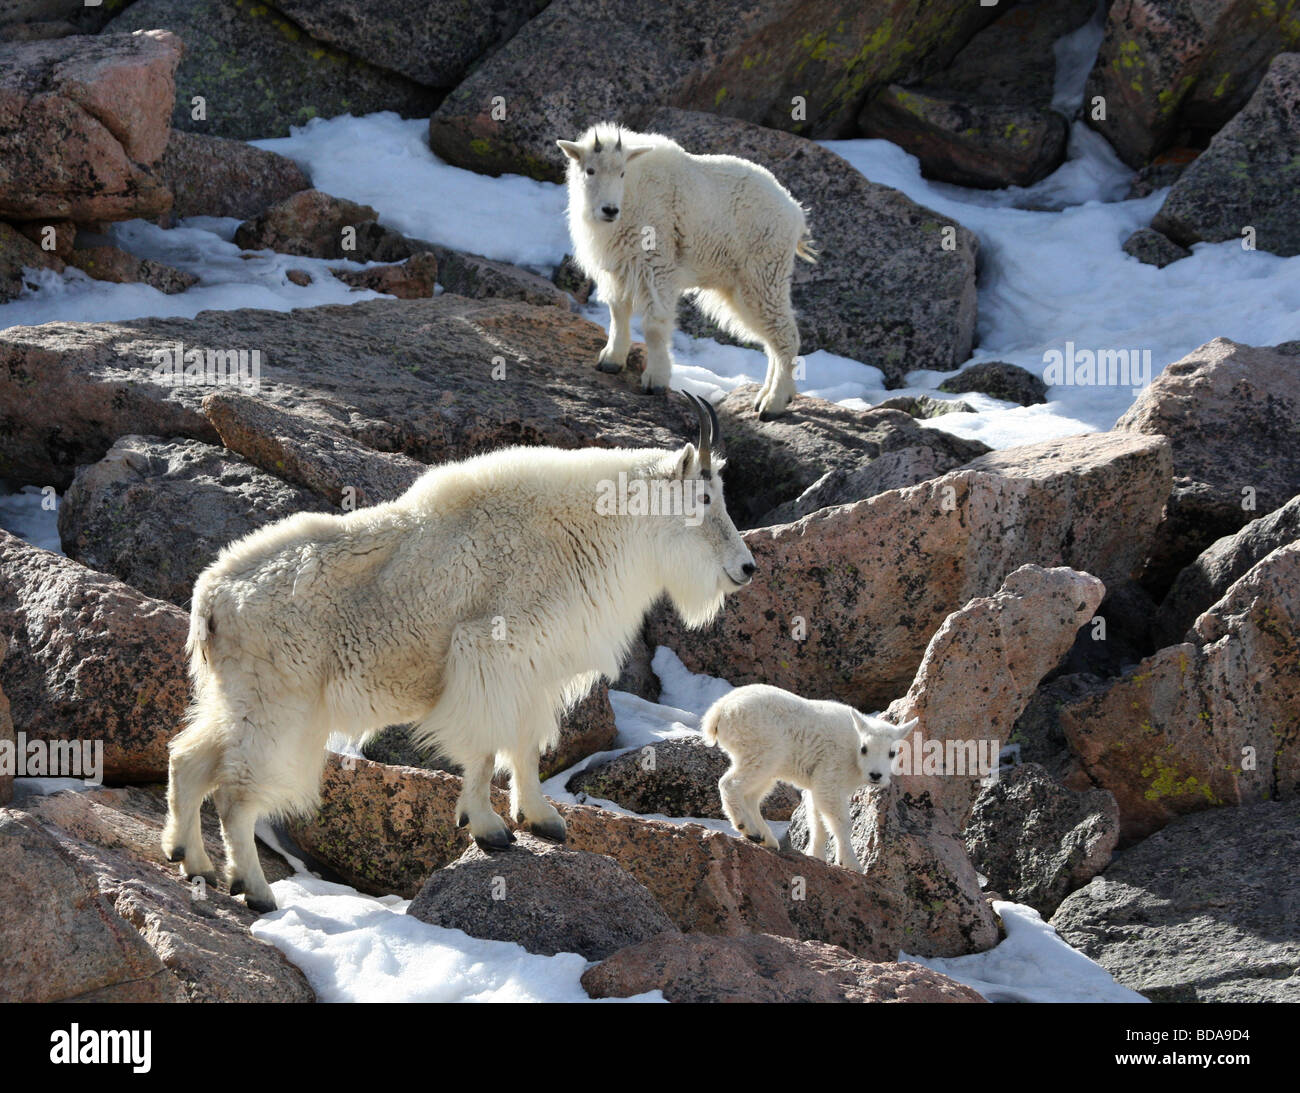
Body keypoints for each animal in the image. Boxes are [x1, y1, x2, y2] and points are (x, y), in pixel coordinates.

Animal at [163, 397, 759, 909]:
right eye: (705, 498)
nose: (747, 568)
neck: (593, 527)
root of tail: (210, 599)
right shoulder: (489, 652)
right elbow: (486, 745)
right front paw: (487, 827)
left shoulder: (534, 670)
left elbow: (524, 744)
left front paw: (541, 820)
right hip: (279, 710)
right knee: (235, 793)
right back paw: (255, 890)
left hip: (236, 699)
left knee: (187, 758)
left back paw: (191, 861)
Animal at [556, 123, 811, 421]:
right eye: (590, 170)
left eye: (621, 172)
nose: (609, 210)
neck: (630, 195)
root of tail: (795, 214)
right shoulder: (618, 268)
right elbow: (617, 311)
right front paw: (610, 360)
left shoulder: (657, 265)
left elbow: (654, 326)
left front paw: (655, 380)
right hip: (744, 284)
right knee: (772, 337)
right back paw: (767, 396)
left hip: (764, 274)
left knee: (784, 333)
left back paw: (774, 402)